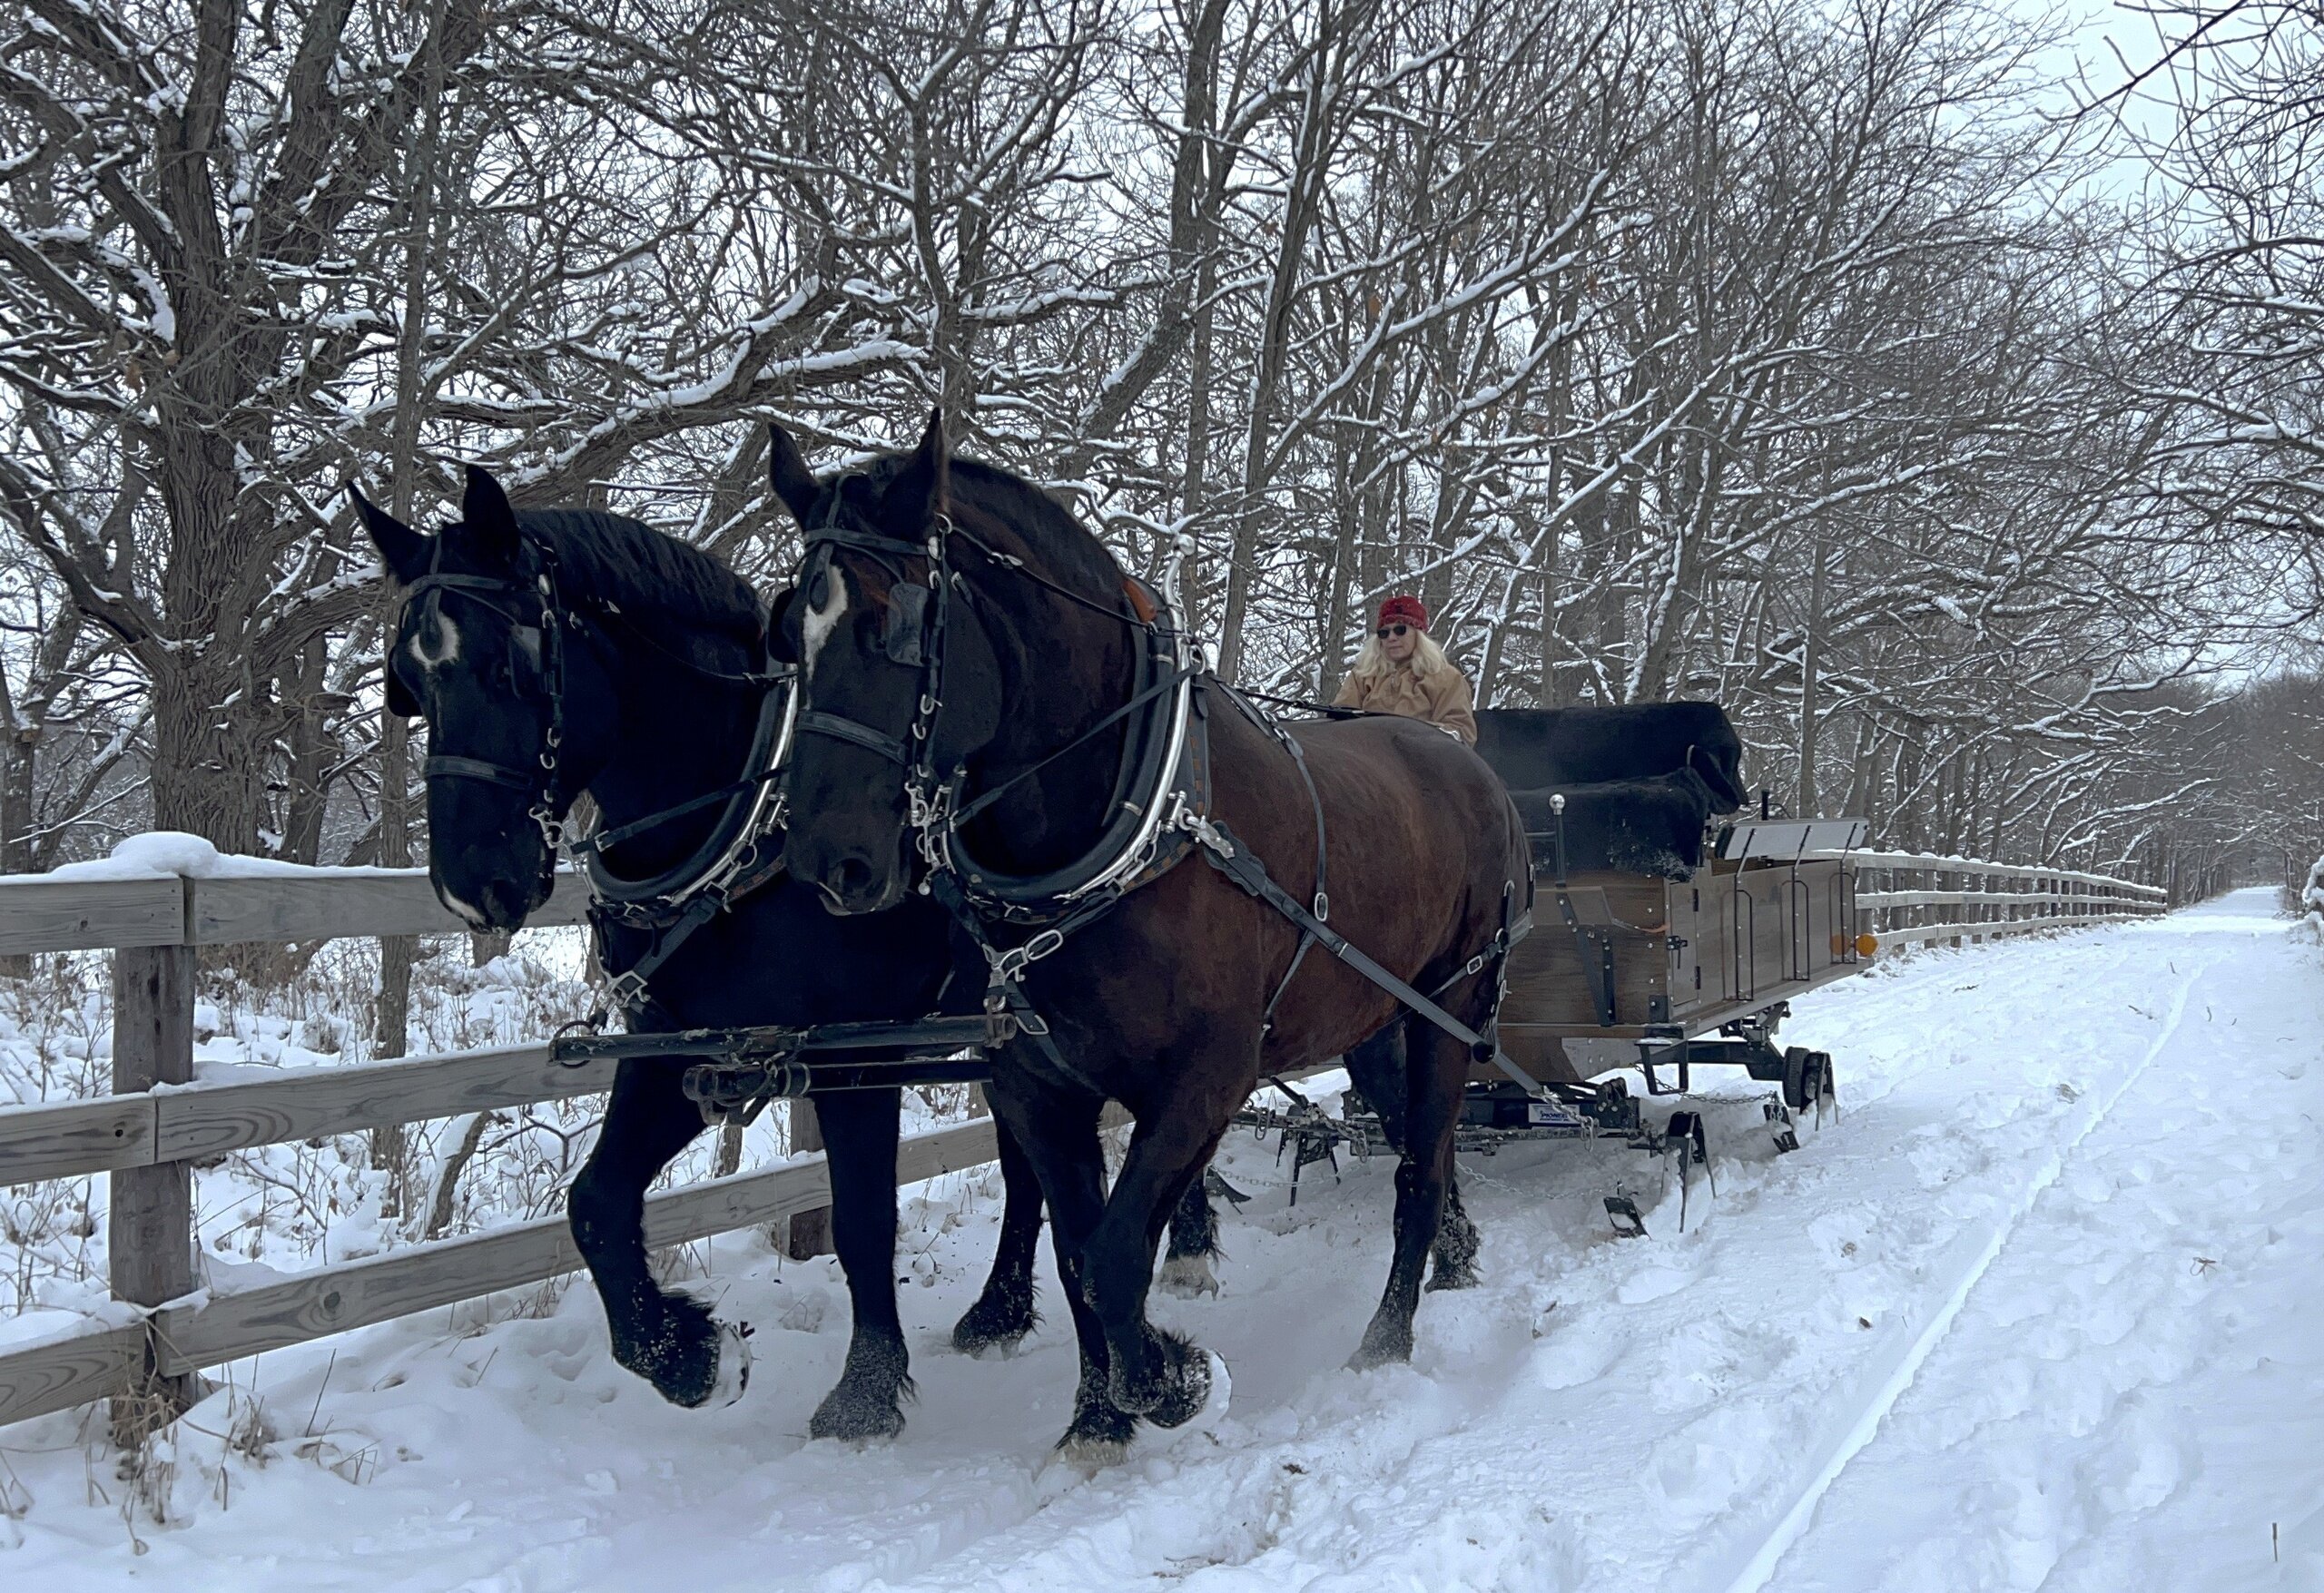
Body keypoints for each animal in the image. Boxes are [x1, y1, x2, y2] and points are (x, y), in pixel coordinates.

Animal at [351, 466, 1221, 1440]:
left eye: (512, 665)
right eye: (408, 684)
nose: (473, 884)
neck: (740, 824)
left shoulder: (853, 1055)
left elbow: (863, 1220)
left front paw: (865, 1390)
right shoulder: (691, 1046)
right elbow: (596, 1204)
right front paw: (686, 1355)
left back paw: (1180, 1245)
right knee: (1028, 1161)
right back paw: (999, 1306)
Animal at [767, 413, 1531, 1463]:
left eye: (894, 619)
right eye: (787, 631)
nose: (822, 859)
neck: (1127, 820)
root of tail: (1469, 765)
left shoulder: (1206, 1076)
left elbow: (1117, 1254)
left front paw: (1173, 1379)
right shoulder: (1039, 1087)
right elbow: (1076, 1254)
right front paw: (1100, 1417)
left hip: (1454, 1004)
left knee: (1418, 1165)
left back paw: (1385, 1338)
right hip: (1379, 1017)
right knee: (1432, 1142)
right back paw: (1452, 1254)